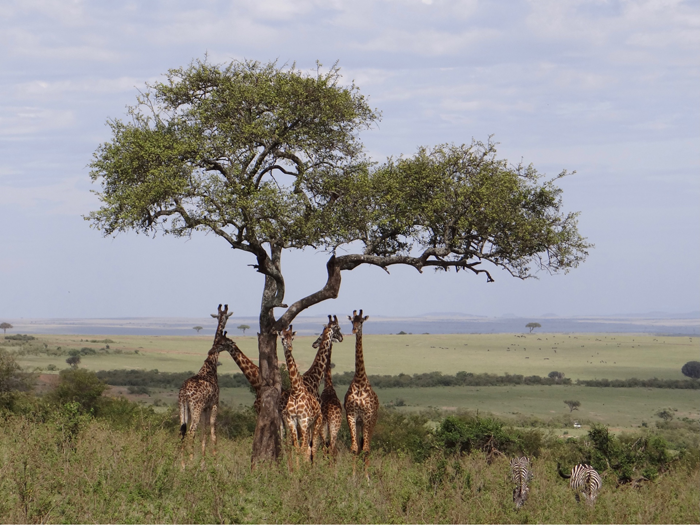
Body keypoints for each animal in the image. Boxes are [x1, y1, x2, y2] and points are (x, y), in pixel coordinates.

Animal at [178, 330, 235, 464]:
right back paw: (190, 461)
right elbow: (213, 430)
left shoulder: (205, 408)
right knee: (191, 431)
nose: (233, 343)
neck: (210, 369)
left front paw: (203, 462)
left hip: (183, 407)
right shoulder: (214, 404)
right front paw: (215, 459)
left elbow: (204, 432)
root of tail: (184, 392)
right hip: (196, 408)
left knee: (182, 431)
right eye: (225, 341)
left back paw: (182, 464)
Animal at [278, 326, 322, 464]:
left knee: (312, 447)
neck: (296, 391)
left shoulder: (304, 420)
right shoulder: (292, 420)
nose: (290, 348)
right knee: (308, 447)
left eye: (292, 337)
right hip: (306, 426)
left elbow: (303, 449)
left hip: (316, 423)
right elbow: (297, 449)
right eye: (282, 338)